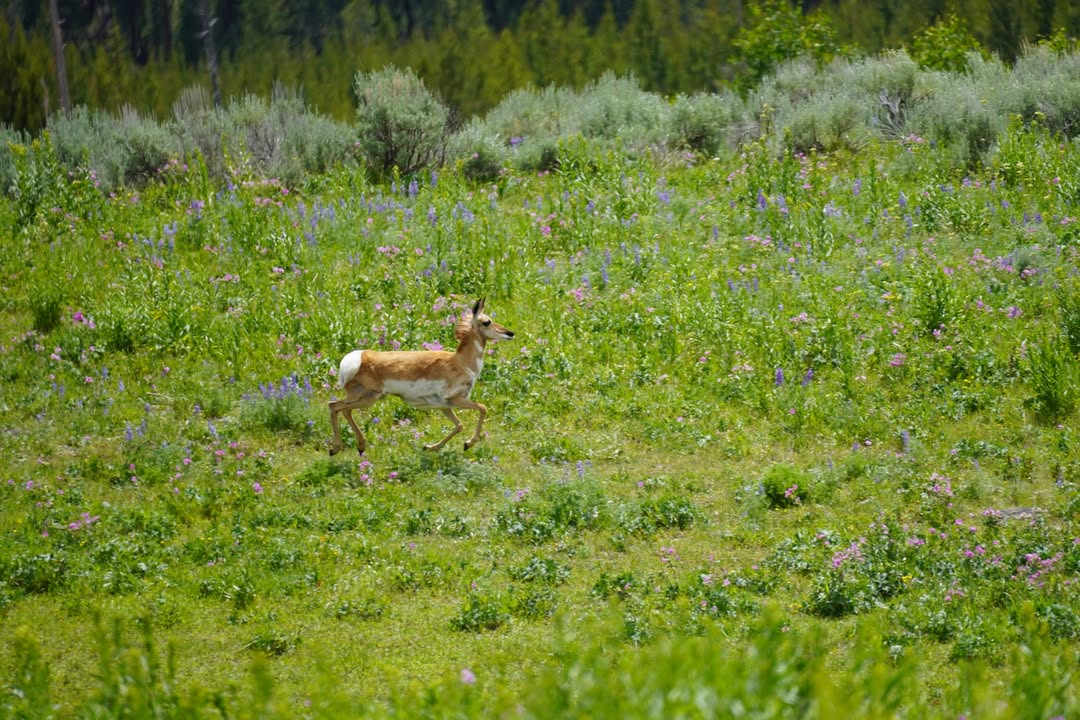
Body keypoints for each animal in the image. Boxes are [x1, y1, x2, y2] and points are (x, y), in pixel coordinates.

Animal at [329, 299, 515, 456]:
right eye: (487, 321)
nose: (510, 333)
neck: (461, 362)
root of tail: (356, 358)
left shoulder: (444, 406)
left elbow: (459, 425)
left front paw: (430, 447)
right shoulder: (456, 399)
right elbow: (483, 408)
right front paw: (468, 443)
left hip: (365, 398)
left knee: (341, 408)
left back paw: (358, 447)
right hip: (368, 398)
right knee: (336, 407)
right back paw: (336, 448)